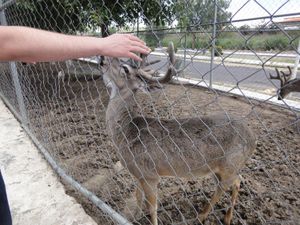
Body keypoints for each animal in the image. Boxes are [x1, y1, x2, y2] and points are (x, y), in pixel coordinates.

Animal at [101, 42, 255, 225]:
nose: (102, 57)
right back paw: (224, 216)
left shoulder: (150, 174)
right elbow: (138, 197)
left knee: (229, 185)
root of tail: (253, 138)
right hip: (219, 169)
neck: (127, 132)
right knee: (234, 182)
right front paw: (134, 218)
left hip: (230, 164)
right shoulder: (138, 174)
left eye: (125, 68)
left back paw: (205, 216)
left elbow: (152, 207)